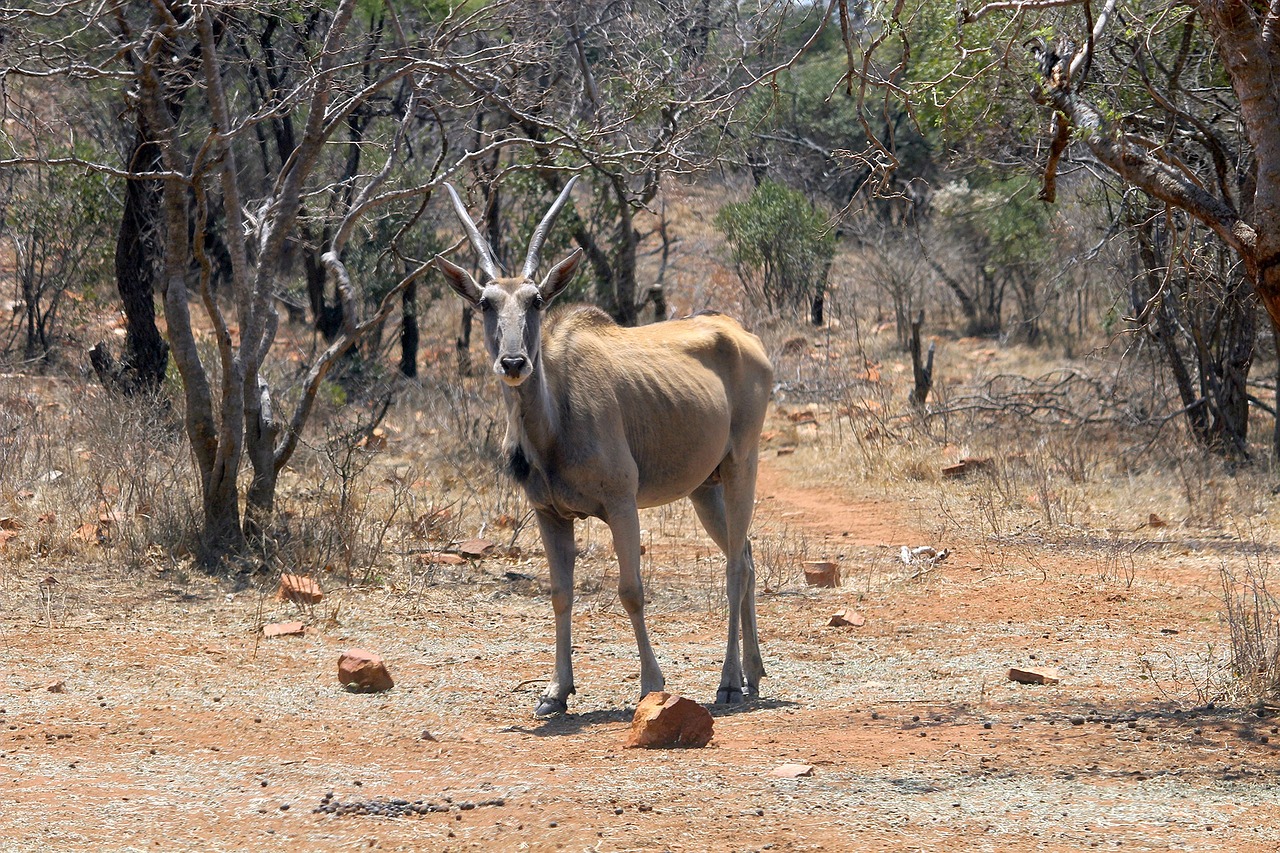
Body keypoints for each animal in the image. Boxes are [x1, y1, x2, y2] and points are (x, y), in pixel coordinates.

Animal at [437, 178, 768, 712]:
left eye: (535, 300)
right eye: (486, 302)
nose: (513, 362)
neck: (555, 421)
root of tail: (743, 335)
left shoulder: (621, 502)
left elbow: (631, 589)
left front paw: (652, 684)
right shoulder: (549, 514)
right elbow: (560, 593)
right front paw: (556, 691)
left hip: (742, 465)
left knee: (736, 565)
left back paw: (729, 682)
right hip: (706, 488)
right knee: (749, 559)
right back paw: (754, 673)